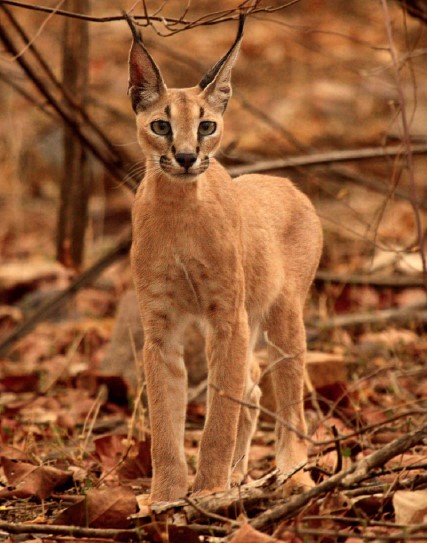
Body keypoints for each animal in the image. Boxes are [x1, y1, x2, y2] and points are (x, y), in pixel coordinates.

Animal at [125, 14, 322, 504]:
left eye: (207, 126)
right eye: (161, 126)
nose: (186, 156)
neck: (178, 205)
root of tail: (285, 183)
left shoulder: (227, 315)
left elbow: (219, 415)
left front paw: (208, 490)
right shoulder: (161, 325)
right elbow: (164, 421)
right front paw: (166, 498)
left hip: (283, 315)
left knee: (289, 401)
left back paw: (291, 475)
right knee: (250, 384)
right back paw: (239, 477)